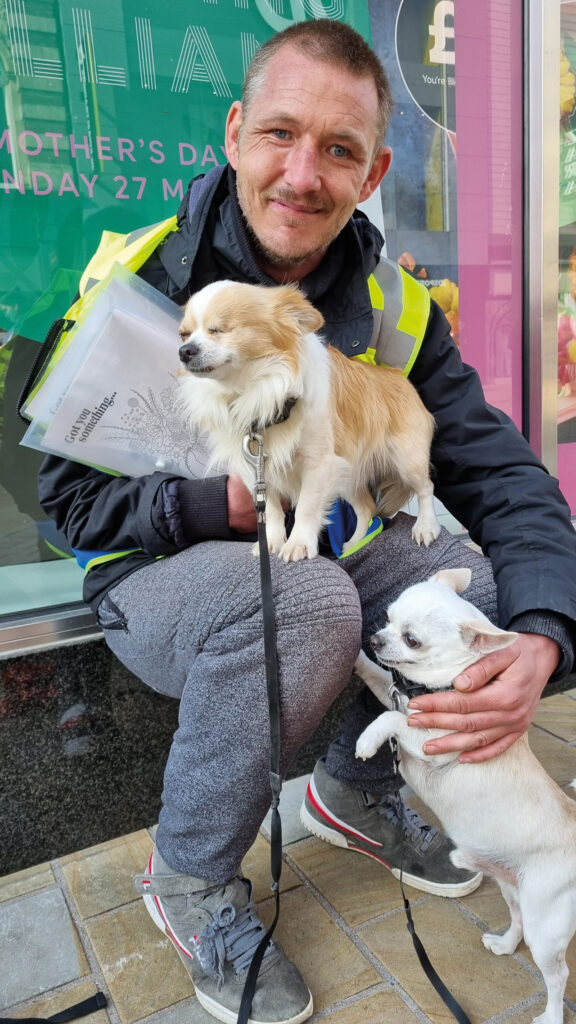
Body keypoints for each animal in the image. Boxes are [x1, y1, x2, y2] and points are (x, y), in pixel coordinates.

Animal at [177, 280, 436, 561]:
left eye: (219, 330)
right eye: (184, 334)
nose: (184, 351)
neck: (254, 393)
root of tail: (401, 379)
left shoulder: (318, 464)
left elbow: (307, 507)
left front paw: (299, 543)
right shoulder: (256, 469)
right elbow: (271, 510)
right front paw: (272, 542)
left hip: (406, 460)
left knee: (426, 487)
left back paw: (426, 527)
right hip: (347, 472)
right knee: (367, 507)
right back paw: (353, 545)